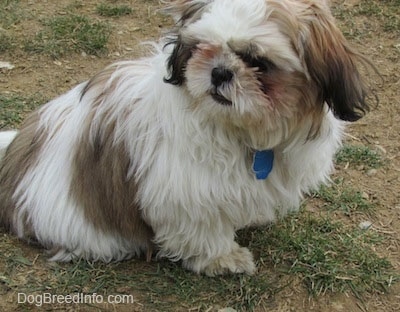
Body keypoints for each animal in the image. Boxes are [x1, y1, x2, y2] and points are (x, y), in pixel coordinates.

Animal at [0, 0, 372, 276]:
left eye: (257, 61)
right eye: (203, 47)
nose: (219, 72)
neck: (241, 128)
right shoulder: (187, 190)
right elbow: (203, 229)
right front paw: (223, 258)